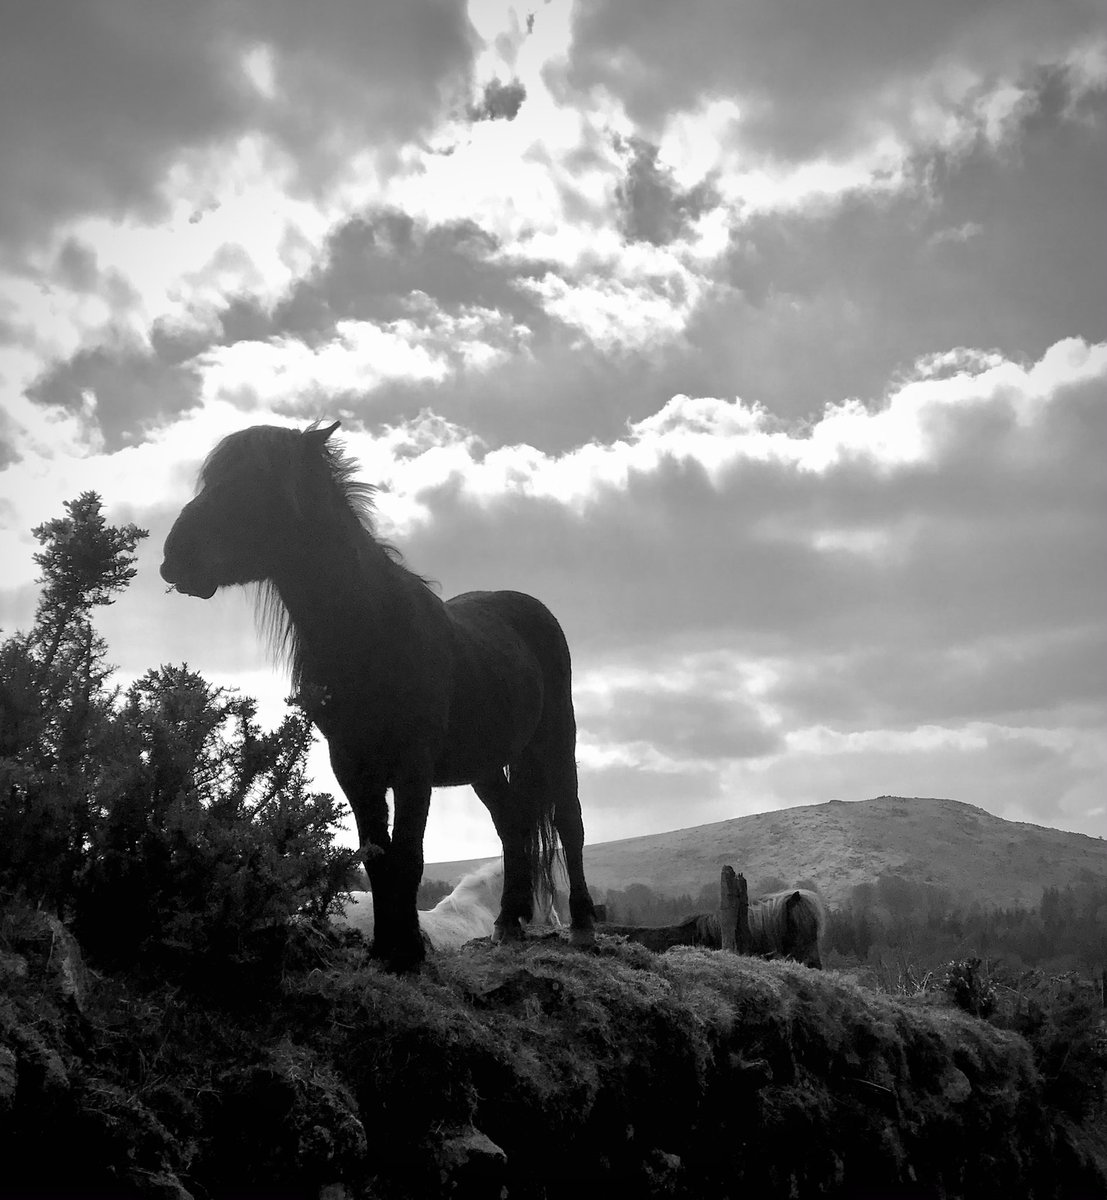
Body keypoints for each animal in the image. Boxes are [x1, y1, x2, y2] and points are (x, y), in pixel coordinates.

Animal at [158, 420, 590, 964]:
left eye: (254, 482)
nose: (175, 556)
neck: (370, 631)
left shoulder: (413, 764)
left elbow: (408, 855)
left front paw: (408, 952)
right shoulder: (350, 762)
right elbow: (377, 856)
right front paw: (388, 949)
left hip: (556, 739)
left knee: (570, 822)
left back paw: (583, 924)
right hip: (486, 764)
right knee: (512, 826)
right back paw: (507, 923)